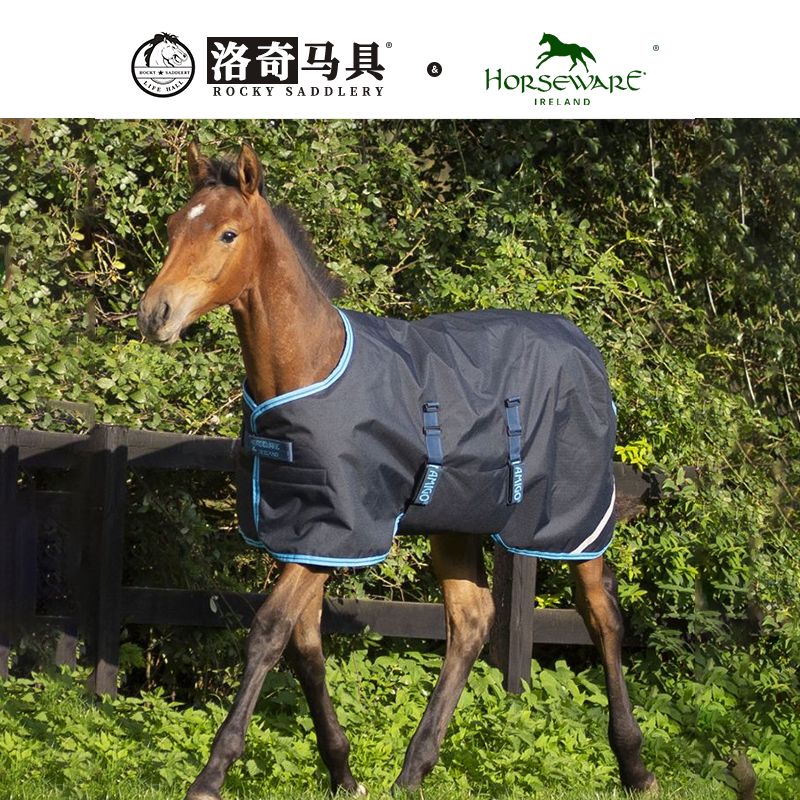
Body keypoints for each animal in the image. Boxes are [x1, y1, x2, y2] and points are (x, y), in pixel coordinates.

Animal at [137, 143, 657, 799]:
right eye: (174, 227)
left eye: (228, 233)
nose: (155, 314)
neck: (310, 367)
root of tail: (585, 350)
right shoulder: (309, 534)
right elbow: (305, 645)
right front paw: (343, 771)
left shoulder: (339, 531)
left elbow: (269, 632)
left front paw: (210, 776)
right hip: (456, 523)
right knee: (471, 621)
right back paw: (414, 770)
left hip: (572, 521)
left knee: (603, 617)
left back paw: (635, 766)